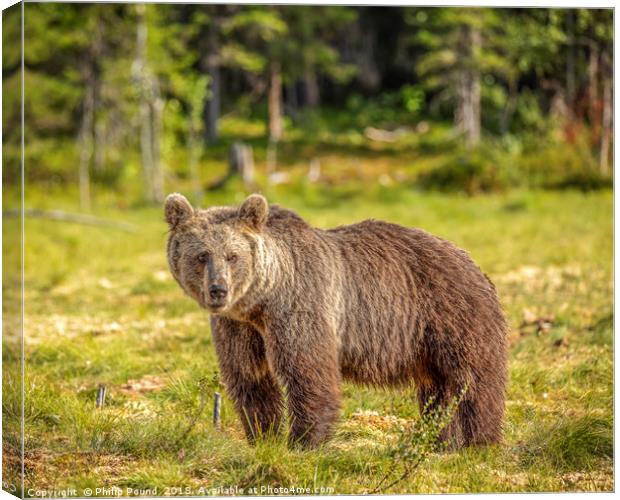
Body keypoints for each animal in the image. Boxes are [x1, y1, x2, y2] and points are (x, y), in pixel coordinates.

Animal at [163, 191, 504, 450]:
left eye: (232, 256)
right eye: (202, 255)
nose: (218, 290)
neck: (262, 299)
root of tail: (472, 262)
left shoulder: (301, 304)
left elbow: (307, 370)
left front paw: (303, 441)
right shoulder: (239, 327)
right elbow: (250, 377)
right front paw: (262, 436)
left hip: (451, 316)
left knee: (474, 382)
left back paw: (479, 442)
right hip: (426, 344)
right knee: (438, 389)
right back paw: (438, 440)